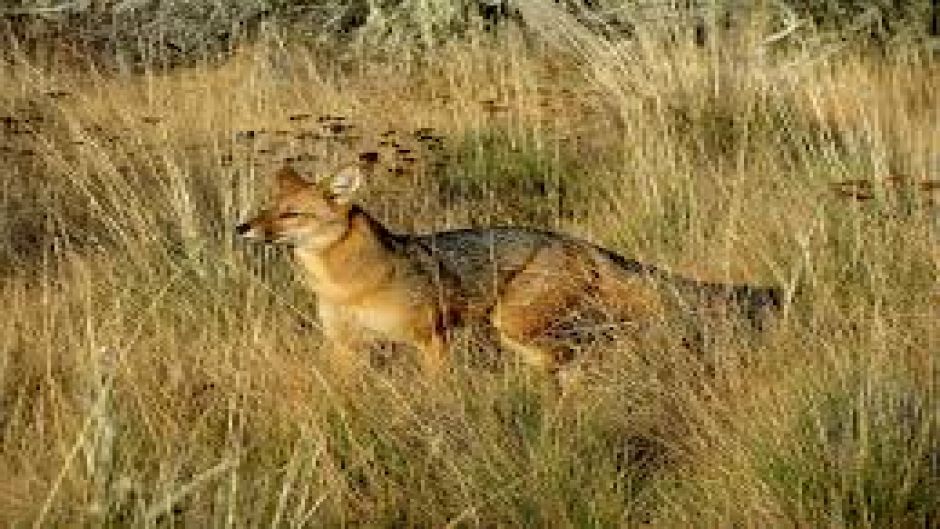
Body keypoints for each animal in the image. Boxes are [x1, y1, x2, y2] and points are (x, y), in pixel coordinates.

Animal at [239, 165, 784, 376]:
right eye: (268, 208)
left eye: (291, 215)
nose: (242, 226)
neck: (346, 286)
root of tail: (575, 241)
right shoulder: (343, 349)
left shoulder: (431, 340)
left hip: (514, 327)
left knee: (569, 360)